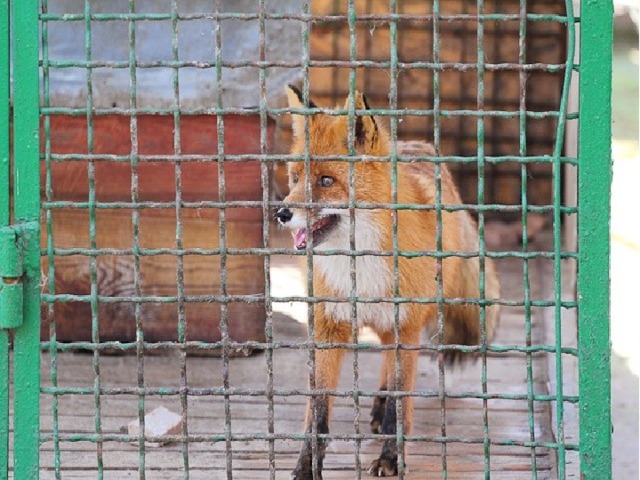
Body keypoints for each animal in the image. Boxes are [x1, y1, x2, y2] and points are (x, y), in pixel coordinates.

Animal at [276, 85, 500, 476]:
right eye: (295, 178)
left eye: (325, 180)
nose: (282, 213)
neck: (360, 269)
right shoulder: (327, 327)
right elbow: (316, 412)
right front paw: (306, 465)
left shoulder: (405, 326)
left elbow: (400, 401)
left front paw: (390, 457)